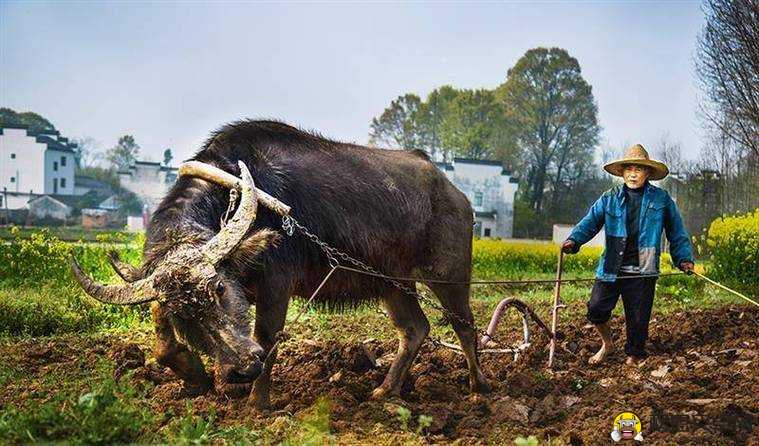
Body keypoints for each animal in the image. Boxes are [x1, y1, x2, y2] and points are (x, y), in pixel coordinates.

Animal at [70, 118, 486, 408]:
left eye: (219, 288)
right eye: (183, 316)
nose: (240, 369)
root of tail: (454, 193)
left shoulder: (277, 281)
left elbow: (267, 335)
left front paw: (258, 402)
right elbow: (162, 343)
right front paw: (197, 376)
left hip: (448, 274)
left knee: (464, 325)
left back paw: (479, 389)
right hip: (391, 282)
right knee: (415, 329)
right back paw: (385, 391)